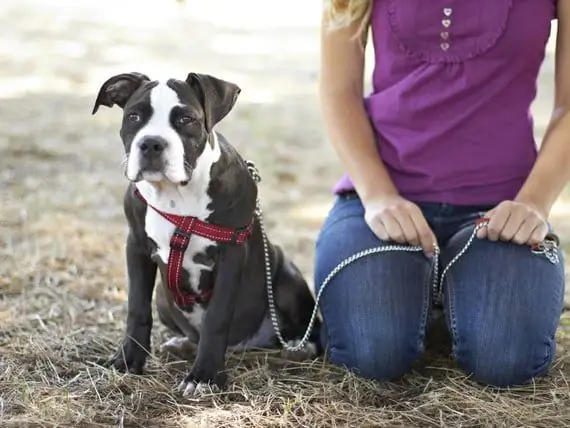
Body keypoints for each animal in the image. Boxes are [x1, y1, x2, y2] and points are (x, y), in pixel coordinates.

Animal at [92, 72, 320, 396]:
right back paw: (183, 344)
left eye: (186, 119)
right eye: (134, 116)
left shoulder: (232, 254)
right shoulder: (136, 245)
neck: (176, 195)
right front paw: (127, 360)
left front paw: (204, 376)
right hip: (163, 296)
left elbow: (217, 317)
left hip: (287, 279)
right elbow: (137, 308)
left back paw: (301, 347)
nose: (151, 144)